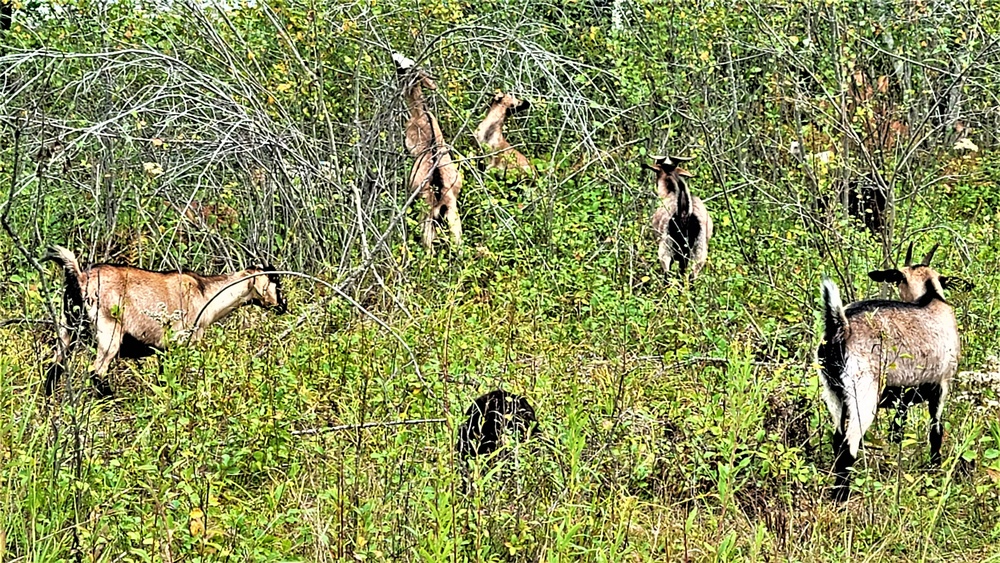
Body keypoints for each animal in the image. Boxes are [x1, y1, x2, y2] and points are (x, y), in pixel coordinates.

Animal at [43, 246, 286, 396]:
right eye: (276, 282)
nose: (283, 306)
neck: (205, 294)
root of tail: (80, 277)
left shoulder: (164, 350)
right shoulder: (182, 342)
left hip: (66, 327)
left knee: (54, 367)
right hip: (108, 332)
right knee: (97, 372)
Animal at [394, 53, 464, 253]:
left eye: (405, 66)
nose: (395, 55)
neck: (420, 113)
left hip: (426, 212)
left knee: (428, 245)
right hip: (452, 213)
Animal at [820, 243, 960, 502]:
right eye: (899, 278)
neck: (931, 297)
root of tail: (841, 327)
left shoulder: (903, 394)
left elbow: (898, 427)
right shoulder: (942, 383)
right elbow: (936, 430)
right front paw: (935, 468)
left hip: (832, 391)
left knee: (837, 438)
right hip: (862, 391)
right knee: (849, 446)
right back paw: (841, 496)